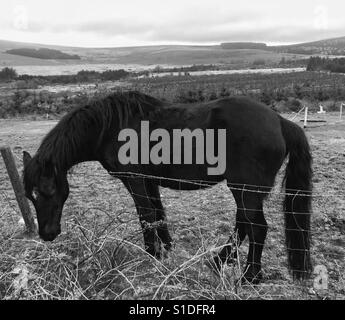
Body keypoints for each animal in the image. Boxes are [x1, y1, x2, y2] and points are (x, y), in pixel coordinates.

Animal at [22, 90, 312, 282]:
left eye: (48, 191)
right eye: (30, 196)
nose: (47, 234)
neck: (110, 127)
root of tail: (280, 121)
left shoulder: (135, 180)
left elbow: (146, 215)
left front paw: (152, 254)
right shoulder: (149, 181)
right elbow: (158, 213)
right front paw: (166, 248)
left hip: (245, 189)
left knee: (257, 228)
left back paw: (250, 276)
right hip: (245, 190)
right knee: (244, 224)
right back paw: (220, 260)